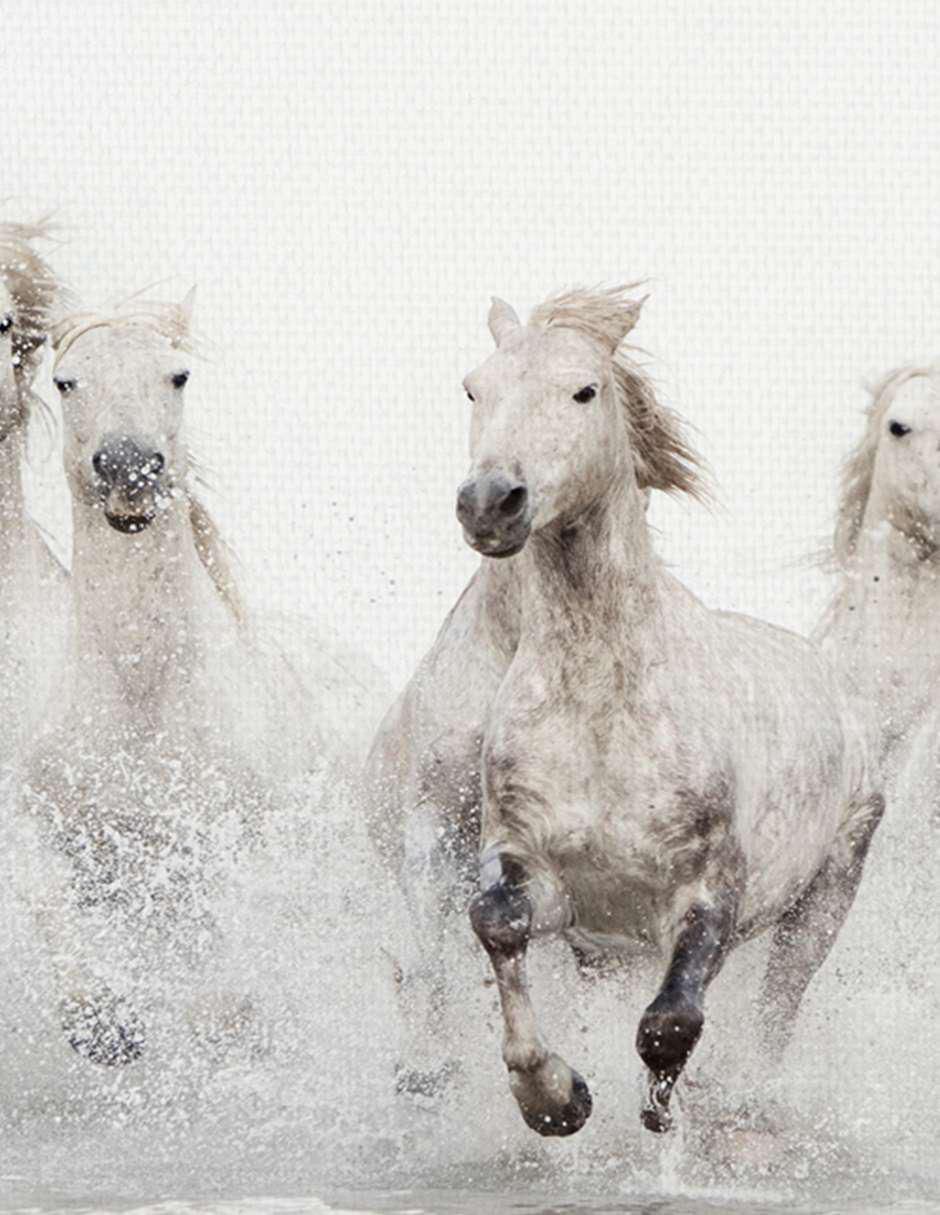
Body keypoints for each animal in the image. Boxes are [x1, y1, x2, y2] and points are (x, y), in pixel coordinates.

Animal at [21, 292, 382, 1067]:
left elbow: (224, 994)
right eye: (66, 381)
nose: (130, 468)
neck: (142, 695)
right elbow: (46, 902)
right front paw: (103, 1021)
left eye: (178, 375)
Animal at [458, 287, 884, 1136]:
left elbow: (670, 1021)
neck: (601, 705)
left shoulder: (708, 888)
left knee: (779, 1005)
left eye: (584, 390)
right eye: (473, 390)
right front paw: (556, 1098)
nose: (490, 503)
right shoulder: (550, 879)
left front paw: (661, 1112)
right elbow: (497, 921)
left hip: (826, 893)